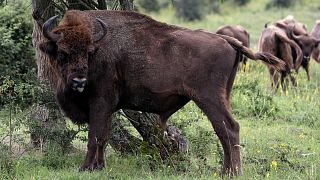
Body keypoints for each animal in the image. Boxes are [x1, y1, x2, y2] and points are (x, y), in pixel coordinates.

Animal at [38, 9, 284, 176]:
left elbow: (95, 136)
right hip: (224, 95)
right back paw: (225, 171)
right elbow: (104, 136)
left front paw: (85, 167)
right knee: (225, 131)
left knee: (228, 128)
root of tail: (225, 39)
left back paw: (232, 172)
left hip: (209, 98)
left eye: (89, 52)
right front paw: (99, 167)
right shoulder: (107, 108)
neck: (99, 48)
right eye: (62, 53)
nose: (79, 80)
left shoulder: (100, 103)